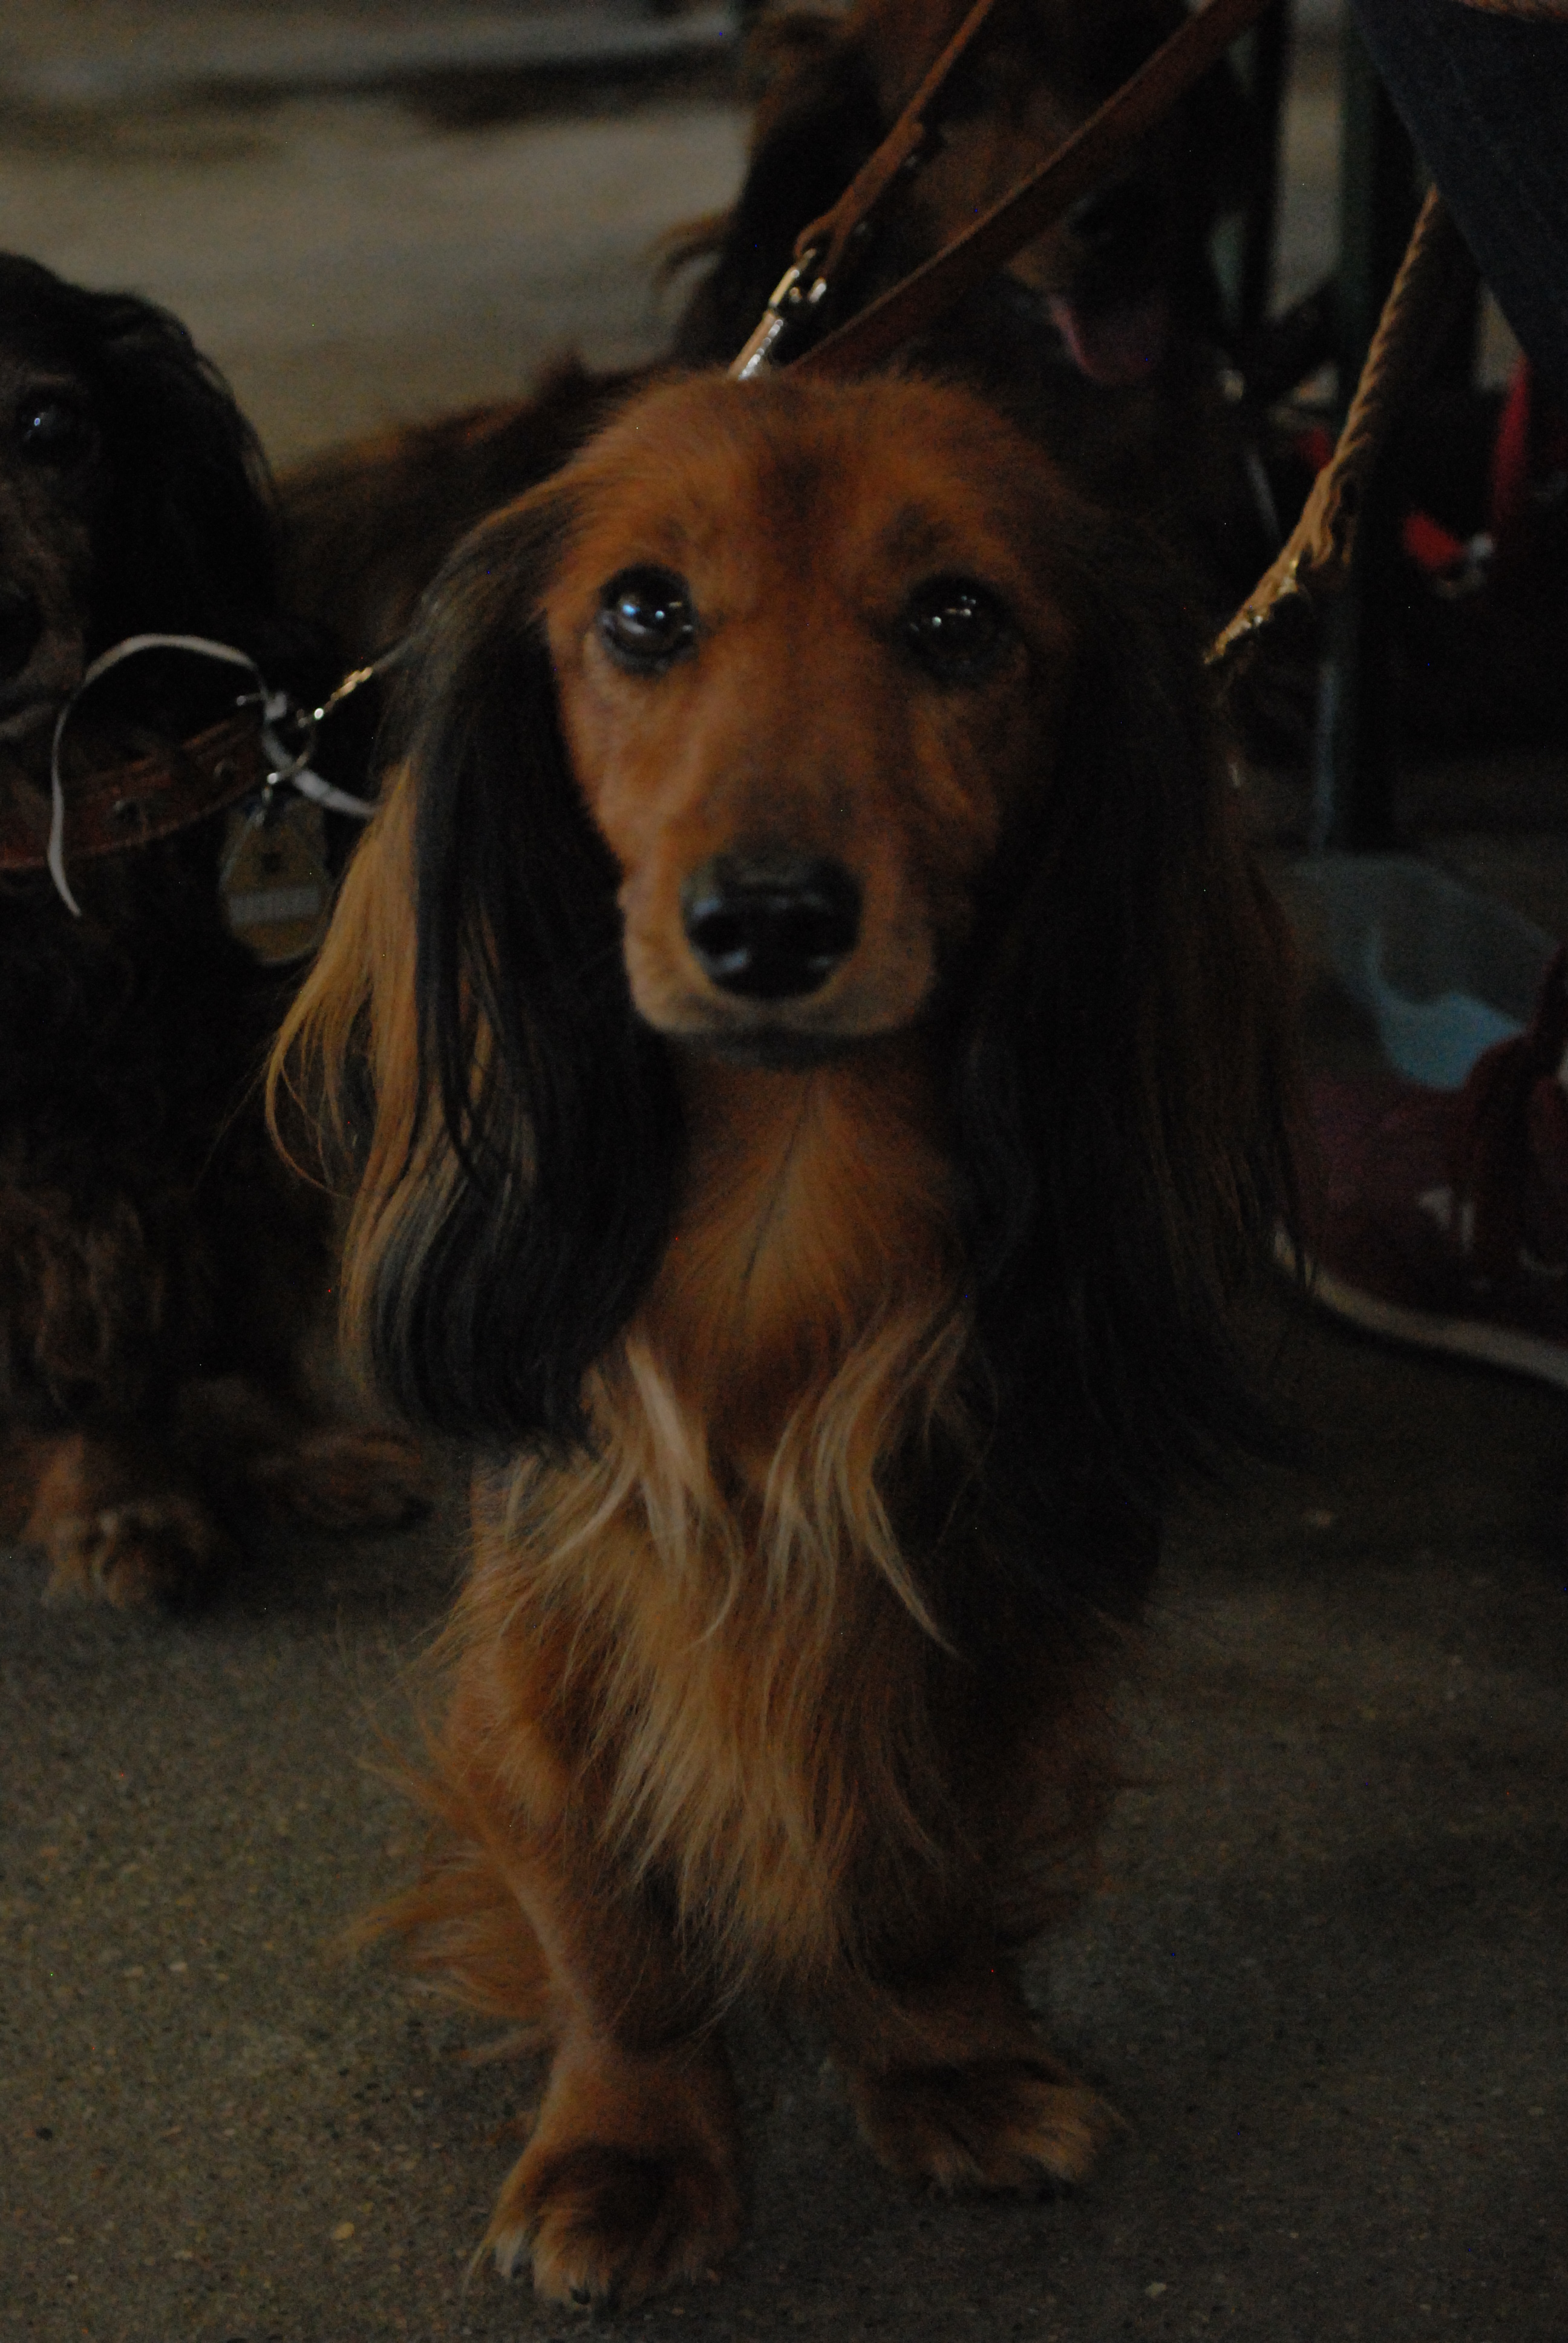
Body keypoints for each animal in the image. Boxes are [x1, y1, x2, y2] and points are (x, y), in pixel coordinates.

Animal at [0, 252, 427, 1607]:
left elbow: (220, 1305)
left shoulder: (212, 1084)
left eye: (52, 427)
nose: (2, 621)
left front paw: (281, 1450)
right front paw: (115, 1498)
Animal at [275, 366, 1294, 2304]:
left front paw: (948, 2060)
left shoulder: (976, 1588)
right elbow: (609, 1913)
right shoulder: (559, 1609)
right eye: (642, 612)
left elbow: (916, 1864)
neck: (784, 1205)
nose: (766, 920)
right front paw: (631, 2143)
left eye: (960, 620)